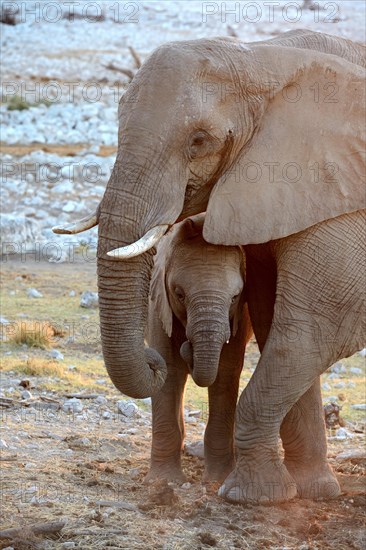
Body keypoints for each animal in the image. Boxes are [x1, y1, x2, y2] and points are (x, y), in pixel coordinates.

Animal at [145, 216, 252, 484]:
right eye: (179, 294)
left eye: (235, 297)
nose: (187, 345)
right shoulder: (158, 305)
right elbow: (169, 371)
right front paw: (164, 481)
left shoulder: (239, 318)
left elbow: (225, 373)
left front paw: (218, 480)